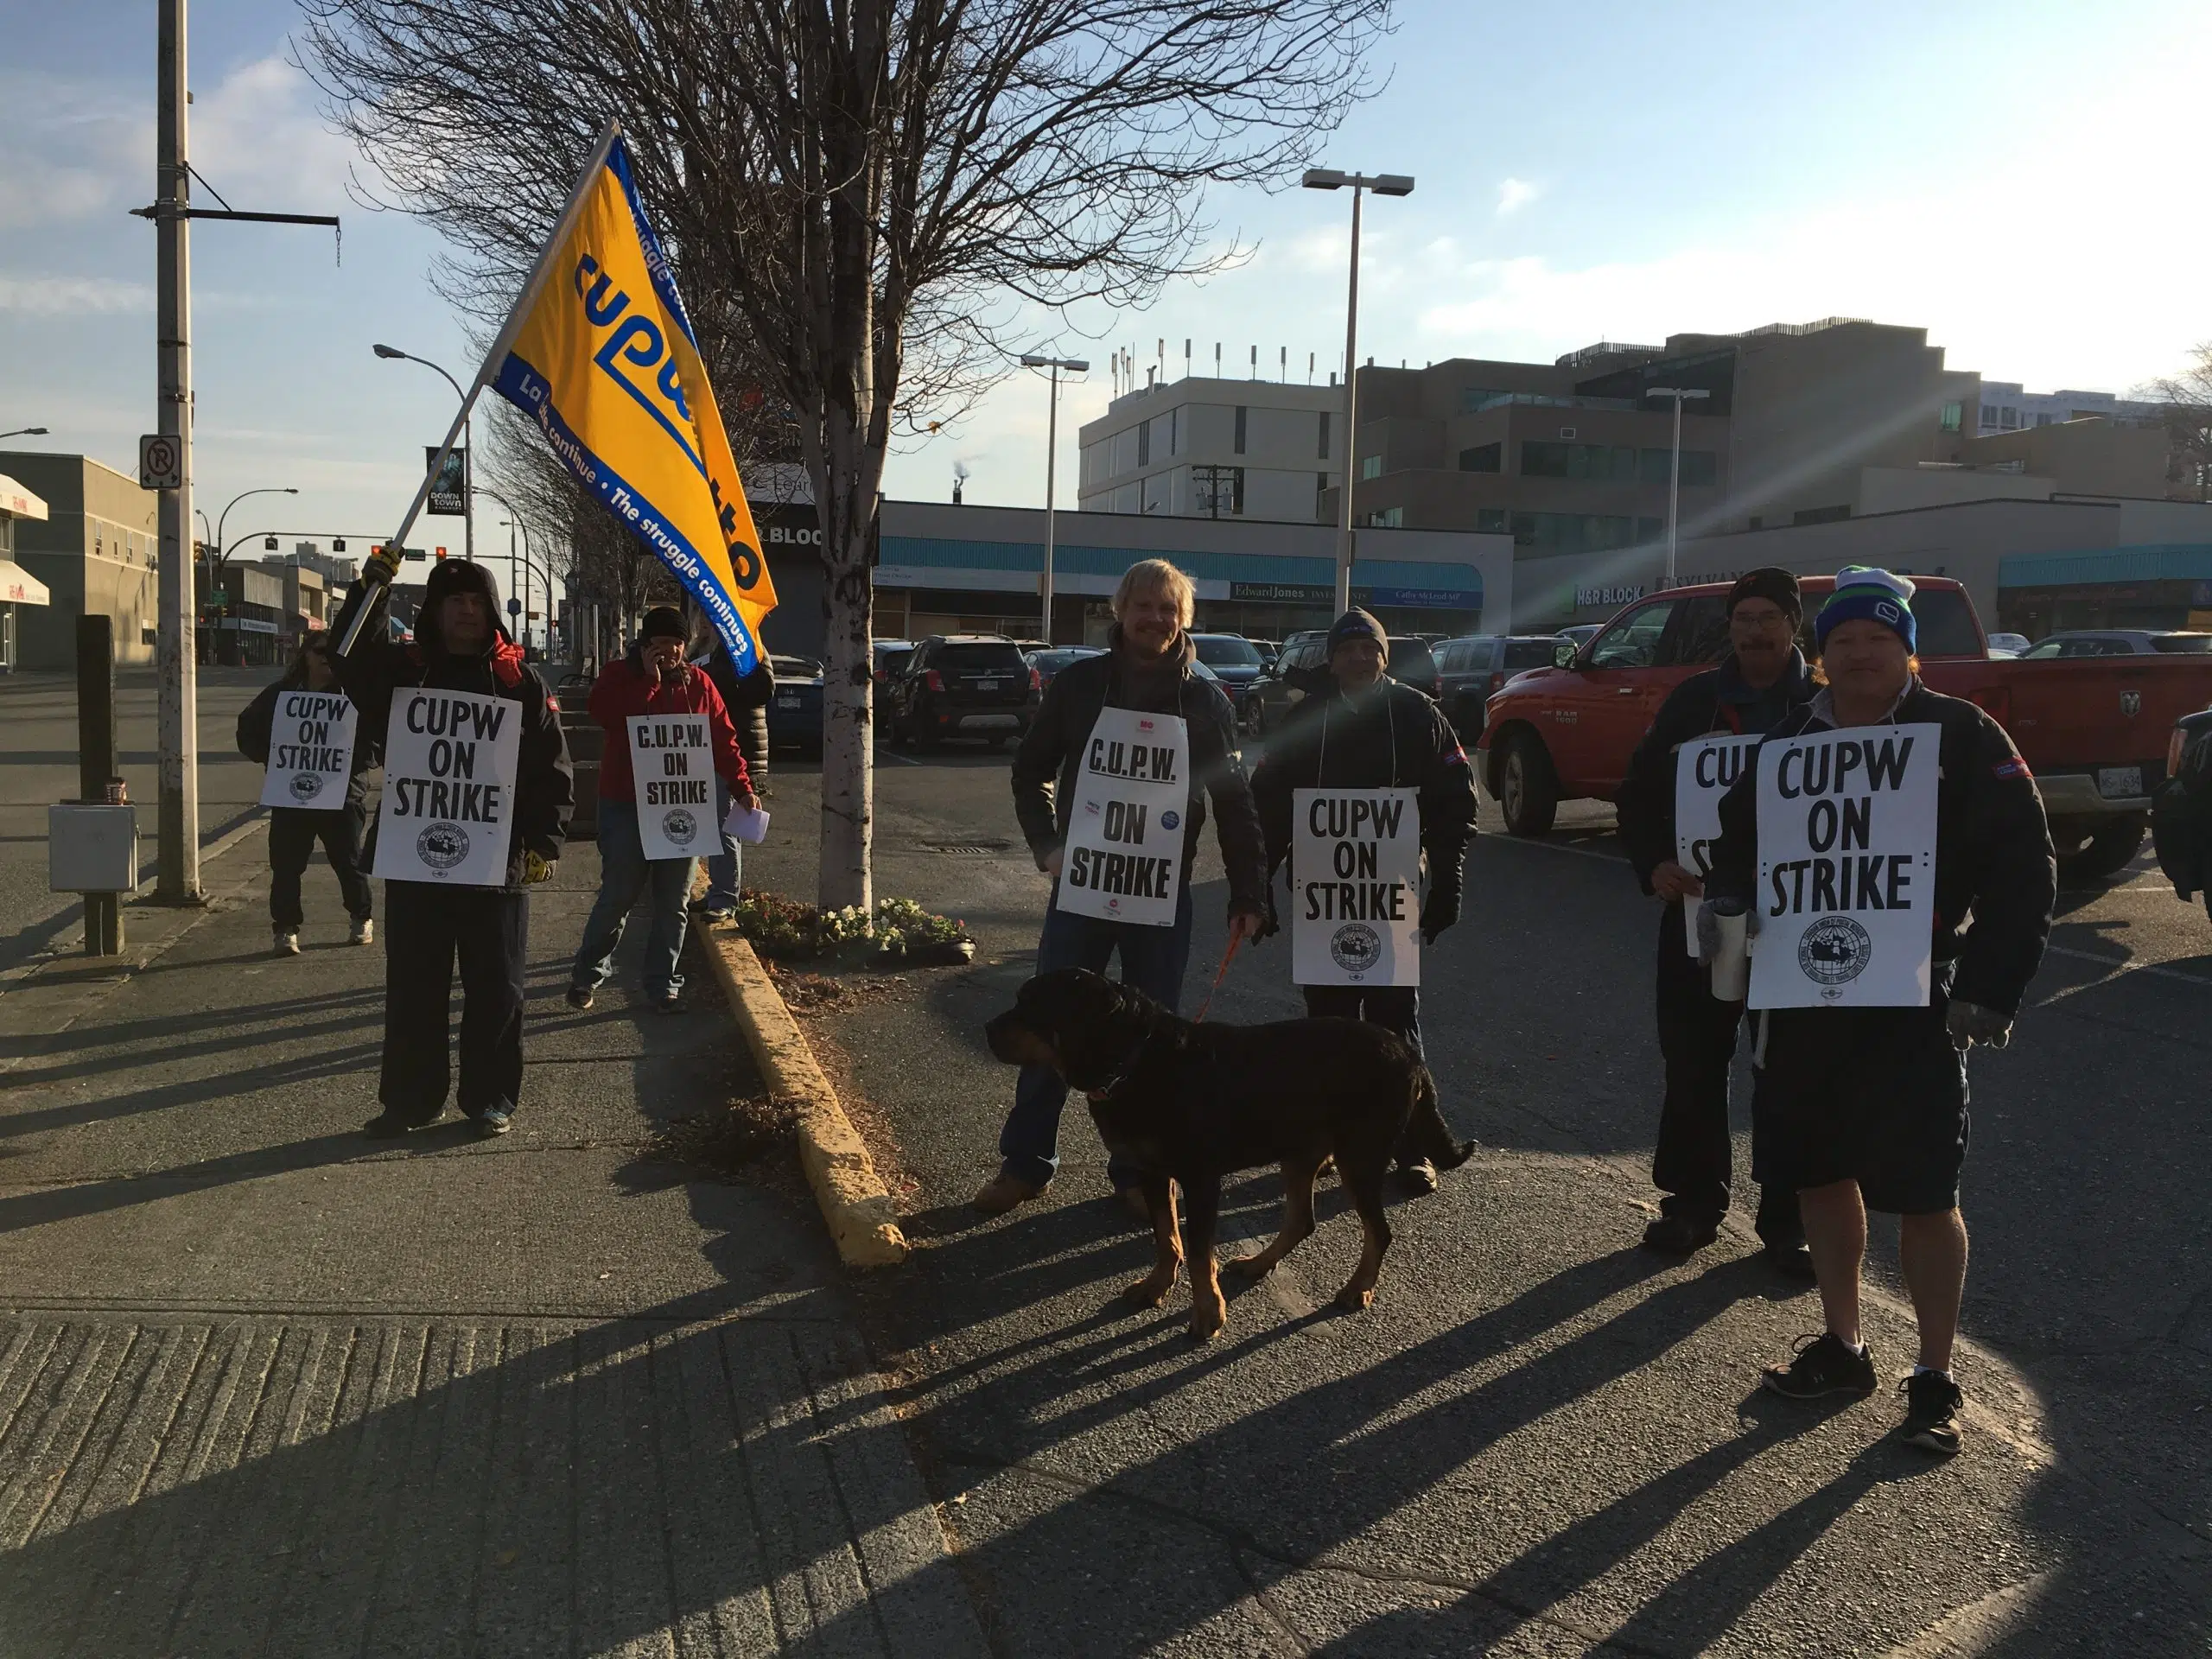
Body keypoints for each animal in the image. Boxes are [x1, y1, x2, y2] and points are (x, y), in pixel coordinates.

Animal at [982, 969, 1468, 1344]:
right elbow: (1165, 1236)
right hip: (1300, 1150)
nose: (986, 1029)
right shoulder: (1153, 1172)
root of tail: (1409, 1053)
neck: (1135, 1061)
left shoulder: (1200, 1179)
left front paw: (1208, 1314)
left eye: (1031, 1005)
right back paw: (1258, 1264)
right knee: (1301, 1220)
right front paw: (1157, 1286)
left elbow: (1199, 1252)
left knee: (1379, 1232)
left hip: (1358, 1156)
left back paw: (1357, 1289)